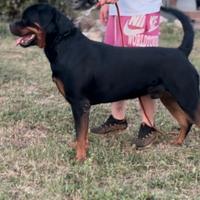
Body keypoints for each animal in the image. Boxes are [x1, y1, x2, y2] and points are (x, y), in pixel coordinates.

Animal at [10, 3, 200, 161]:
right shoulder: (81, 106)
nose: (9, 25)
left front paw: (79, 158)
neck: (63, 43)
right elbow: (82, 133)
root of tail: (180, 52)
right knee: (186, 122)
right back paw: (177, 143)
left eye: (26, 18)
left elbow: (80, 132)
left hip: (188, 97)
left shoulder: (80, 104)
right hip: (169, 97)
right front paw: (81, 150)